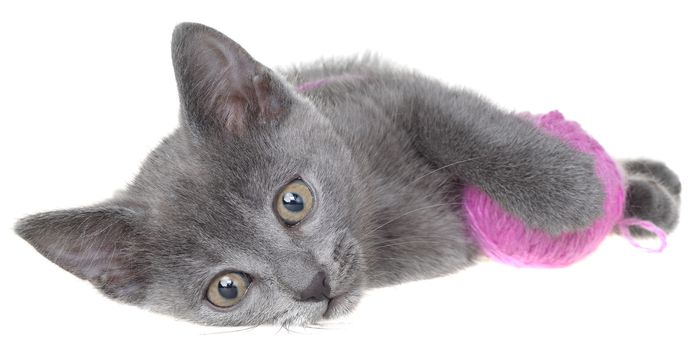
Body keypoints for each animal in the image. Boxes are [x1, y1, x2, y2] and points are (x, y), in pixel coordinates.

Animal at [15, 23, 680, 326]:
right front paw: (609, 200)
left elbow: (466, 128)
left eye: (294, 201)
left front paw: (570, 192)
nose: (312, 286)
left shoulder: (390, 92)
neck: (378, 230)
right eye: (227, 289)